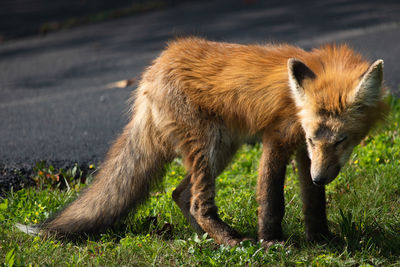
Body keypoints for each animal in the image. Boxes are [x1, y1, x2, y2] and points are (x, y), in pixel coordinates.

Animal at [18, 37, 388, 249]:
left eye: (341, 141)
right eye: (315, 137)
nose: (321, 177)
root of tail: (152, 71)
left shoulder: (302, 152)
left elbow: (314, 203)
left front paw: (322, 239)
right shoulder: (279, 139)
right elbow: (272, 201)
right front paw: (271, 241)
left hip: (222, 151)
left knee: (179, 194)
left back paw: (210, 240)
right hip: (207, 147)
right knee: (197, 202)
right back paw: (233, 242)